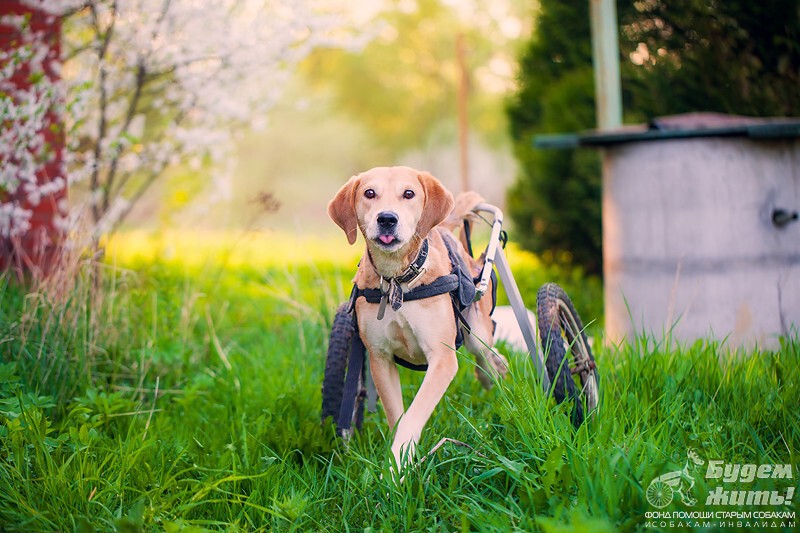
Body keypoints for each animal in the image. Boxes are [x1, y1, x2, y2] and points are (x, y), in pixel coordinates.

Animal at [326, 166, 506, 470]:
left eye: (408, 193)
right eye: (369, 193)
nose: (387, 219)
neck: (397, 281)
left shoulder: (442, 359)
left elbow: (414, 414)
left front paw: (396, 467)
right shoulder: (380, 358)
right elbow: (397, 416)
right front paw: (397, 460)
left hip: (477, 335)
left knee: (489, 358)